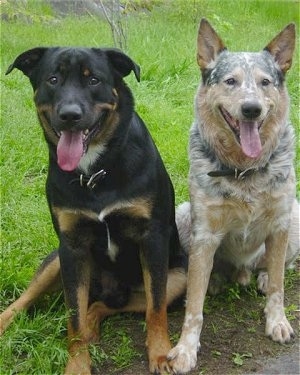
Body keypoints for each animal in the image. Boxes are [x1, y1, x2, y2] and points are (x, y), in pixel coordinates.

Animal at [0, 48, 185, 374]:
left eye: (94, 80)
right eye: (53, 79)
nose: (70, 115)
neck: (96, 171)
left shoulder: (152, 239)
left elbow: (156, 307)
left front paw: (161, 354)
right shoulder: (71, 248)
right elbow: (72, 317)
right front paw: (77, 364)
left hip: (178, 278)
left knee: (107, 305)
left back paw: (92, 323)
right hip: (55, 263)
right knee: (25, 301)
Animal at [168, 19, 298, 374]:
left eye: (265, 82)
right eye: (230, 81)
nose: (251, 109)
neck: (244, 171)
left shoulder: (280, 224)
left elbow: (280, 287)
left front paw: (277, 321)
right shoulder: (205, 233)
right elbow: (193, 307)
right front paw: (186, 348)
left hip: (295, 219)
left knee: (276, 267)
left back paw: (262, 276)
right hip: (183, 217)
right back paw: (216, 280)